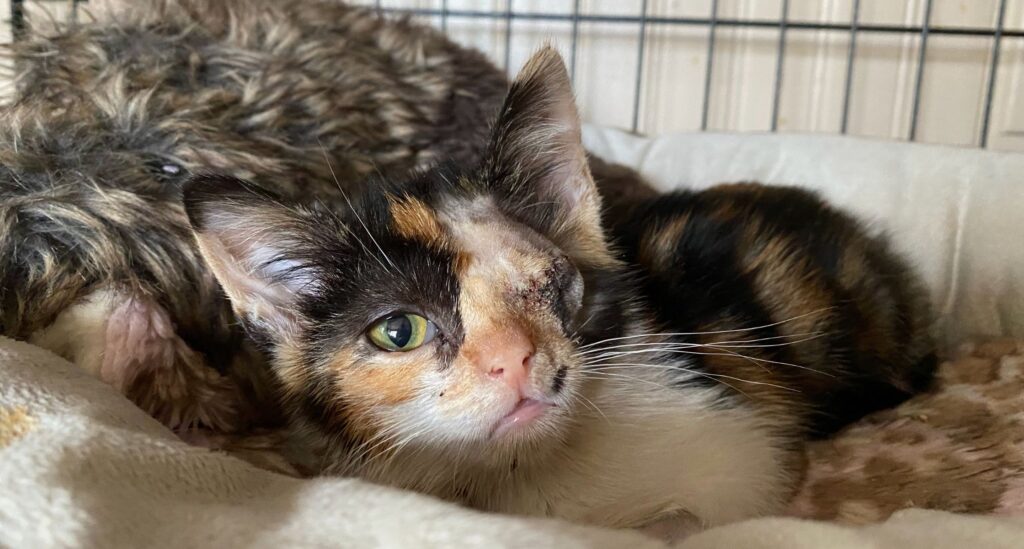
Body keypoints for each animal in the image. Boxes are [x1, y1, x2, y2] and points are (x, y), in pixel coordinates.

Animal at [184, 49, 937, 528]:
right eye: (399, 330)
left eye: (552, 284)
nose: (514, 360)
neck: (512, 475)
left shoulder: (741, 455)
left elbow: (689, 520)